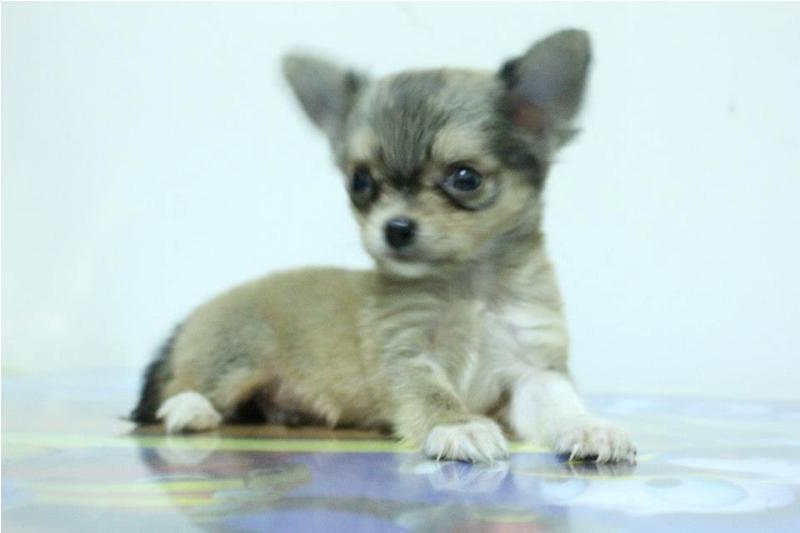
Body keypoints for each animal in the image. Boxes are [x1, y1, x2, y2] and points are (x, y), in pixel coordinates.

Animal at [131, 28, 636, 464]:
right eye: (360, 182)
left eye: (465, 178)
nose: (395, 228)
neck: (468, 287)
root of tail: (192, 320)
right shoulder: (408, 357)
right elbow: (432, 395)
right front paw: (459, 426)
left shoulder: (532, 368)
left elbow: (559, 404)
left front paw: (590, 427)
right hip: (234, 359)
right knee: (182, 389)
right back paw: (189, 410)